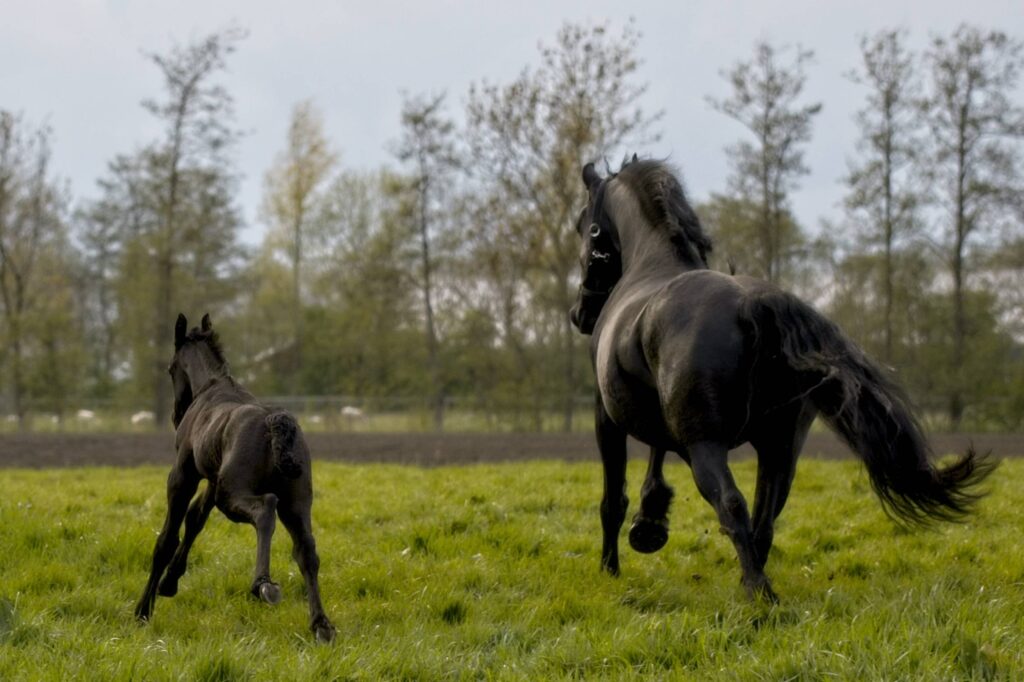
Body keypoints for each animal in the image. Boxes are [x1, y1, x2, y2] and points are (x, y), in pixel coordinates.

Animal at [134, 313, 336, 642]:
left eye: (170, 369)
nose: (176, 415)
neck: (212, 387)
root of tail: (277, 423)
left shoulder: (184, 476)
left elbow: (167, 538)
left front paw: (143, 610)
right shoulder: (214, 480)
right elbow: (195, 519)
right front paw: (169, 582)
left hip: (232, 496)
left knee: (265, 509)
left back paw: (263, 584)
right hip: (295, 502)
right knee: (306, 550)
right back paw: (321, 625)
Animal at [569, 158, 996, 601]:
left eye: (583, 224)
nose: (579, 314)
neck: (651, 265)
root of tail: (754, 304)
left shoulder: (609, 417)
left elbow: (612, 500)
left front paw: (613, 565)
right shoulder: (666, 421)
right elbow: (657, 456)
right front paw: (651, 523)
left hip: (710, 447)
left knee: (732, 505)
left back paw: (760, 594)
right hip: (780, 450)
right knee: (764, 523)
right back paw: (753, 585)